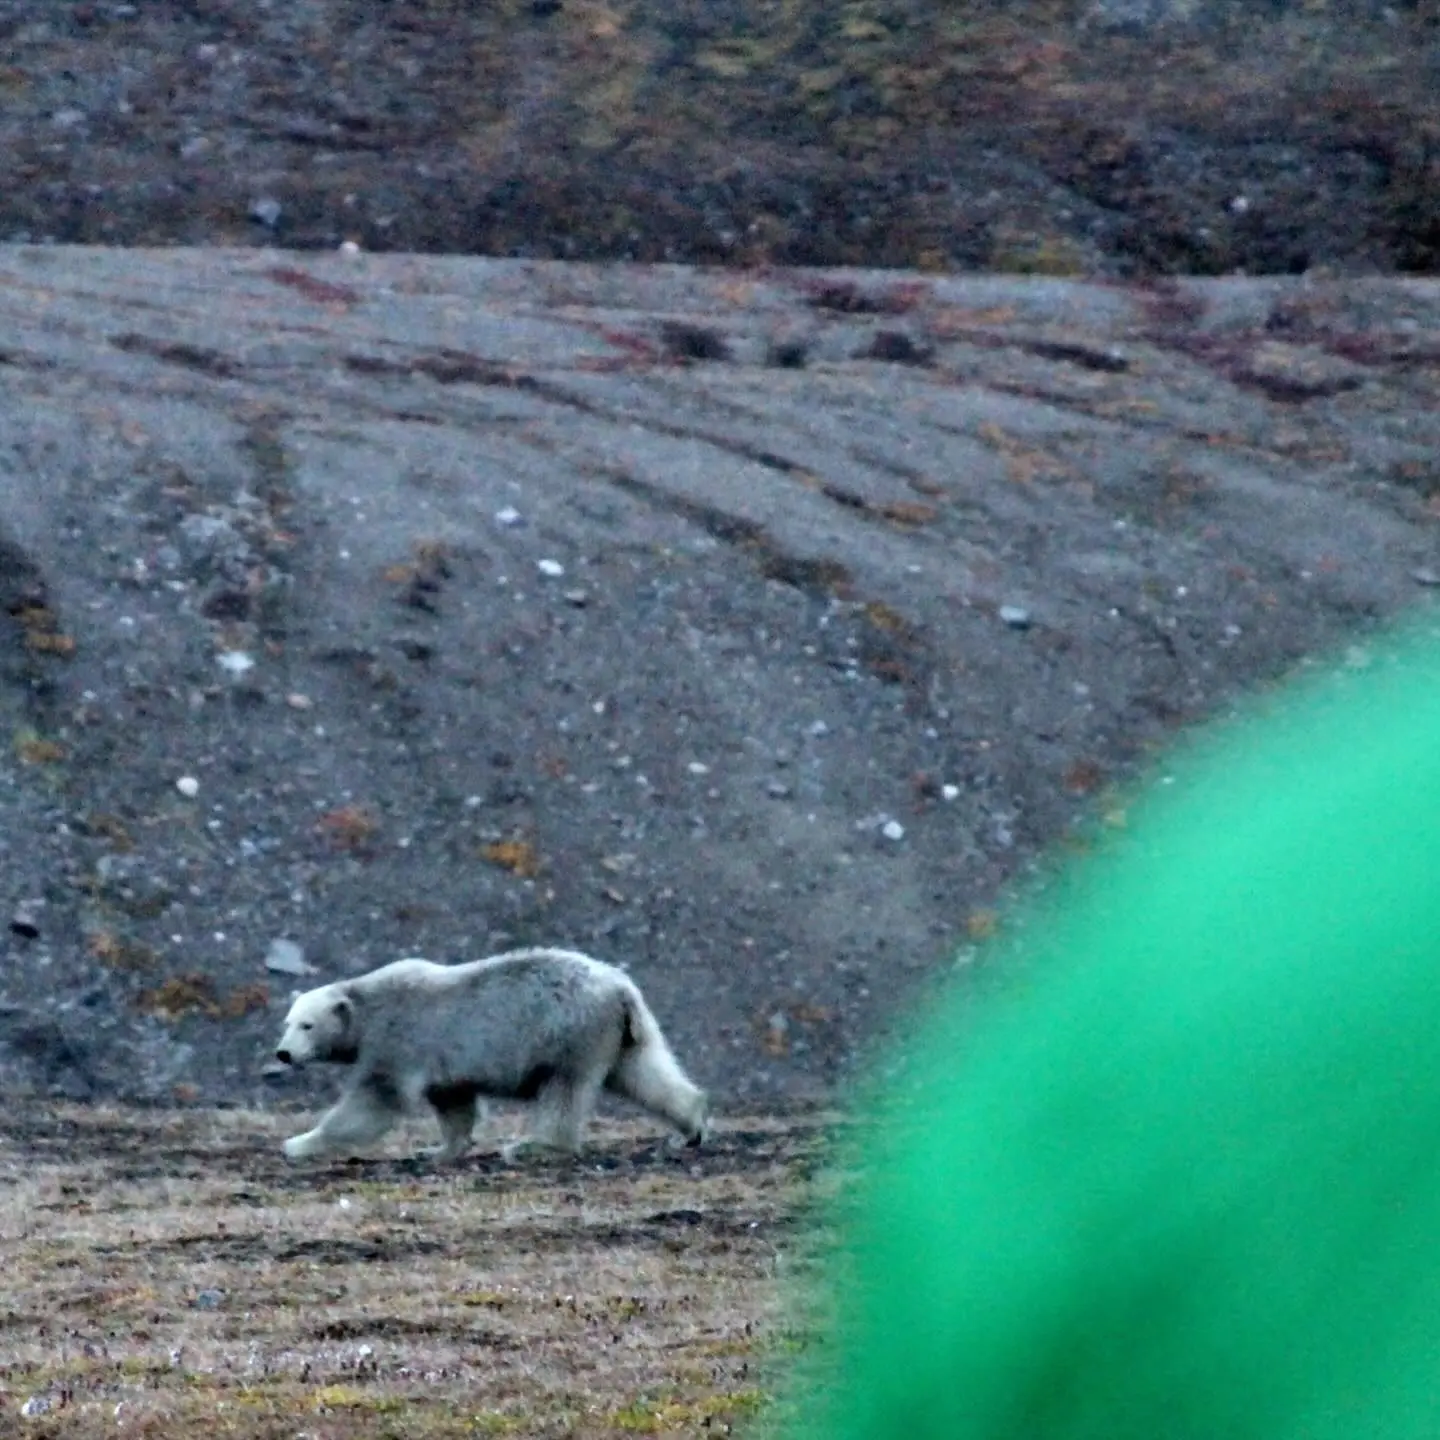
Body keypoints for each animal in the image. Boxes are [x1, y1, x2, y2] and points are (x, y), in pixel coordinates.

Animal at [270, 950, 708, 1163]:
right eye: (286, 1022)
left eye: (307, 1025)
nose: (283, 1053)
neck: (367, 1005)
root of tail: (621, 988)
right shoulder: (443, 1061)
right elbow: (454, 1103)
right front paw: (437, 1150)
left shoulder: (399, 1038)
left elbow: (375, 1099)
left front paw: (299, 1143)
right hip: (618, 1034)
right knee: (643, 1074)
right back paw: (691, 1126)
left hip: (567, 1031)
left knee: (564, 1090)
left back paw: (534, 1147)